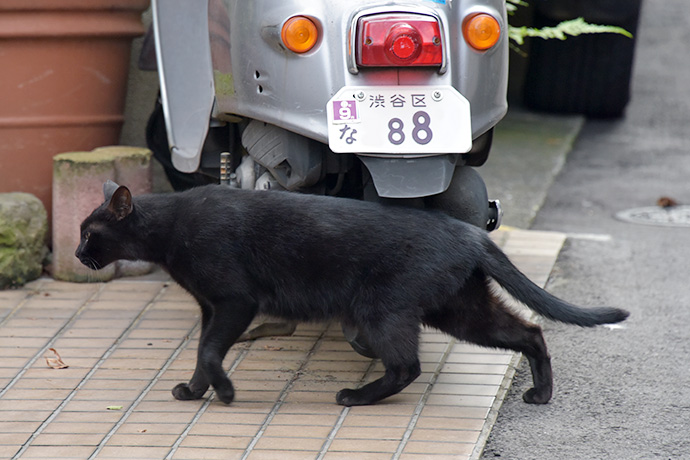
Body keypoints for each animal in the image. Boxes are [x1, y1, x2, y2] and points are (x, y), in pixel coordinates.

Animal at [76, 183, 628, 406]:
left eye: (89, 233)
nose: (79, 254)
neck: (172, 227)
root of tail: (471, 232)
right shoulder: (210, 308)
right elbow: (199, 353)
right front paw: (194, 392)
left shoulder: (234, 302)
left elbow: (210, 351)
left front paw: (225, 393)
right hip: (462, 311)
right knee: (531, 331)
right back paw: (541, 394)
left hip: (383, 310)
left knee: (407, 367)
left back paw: (356, 398)